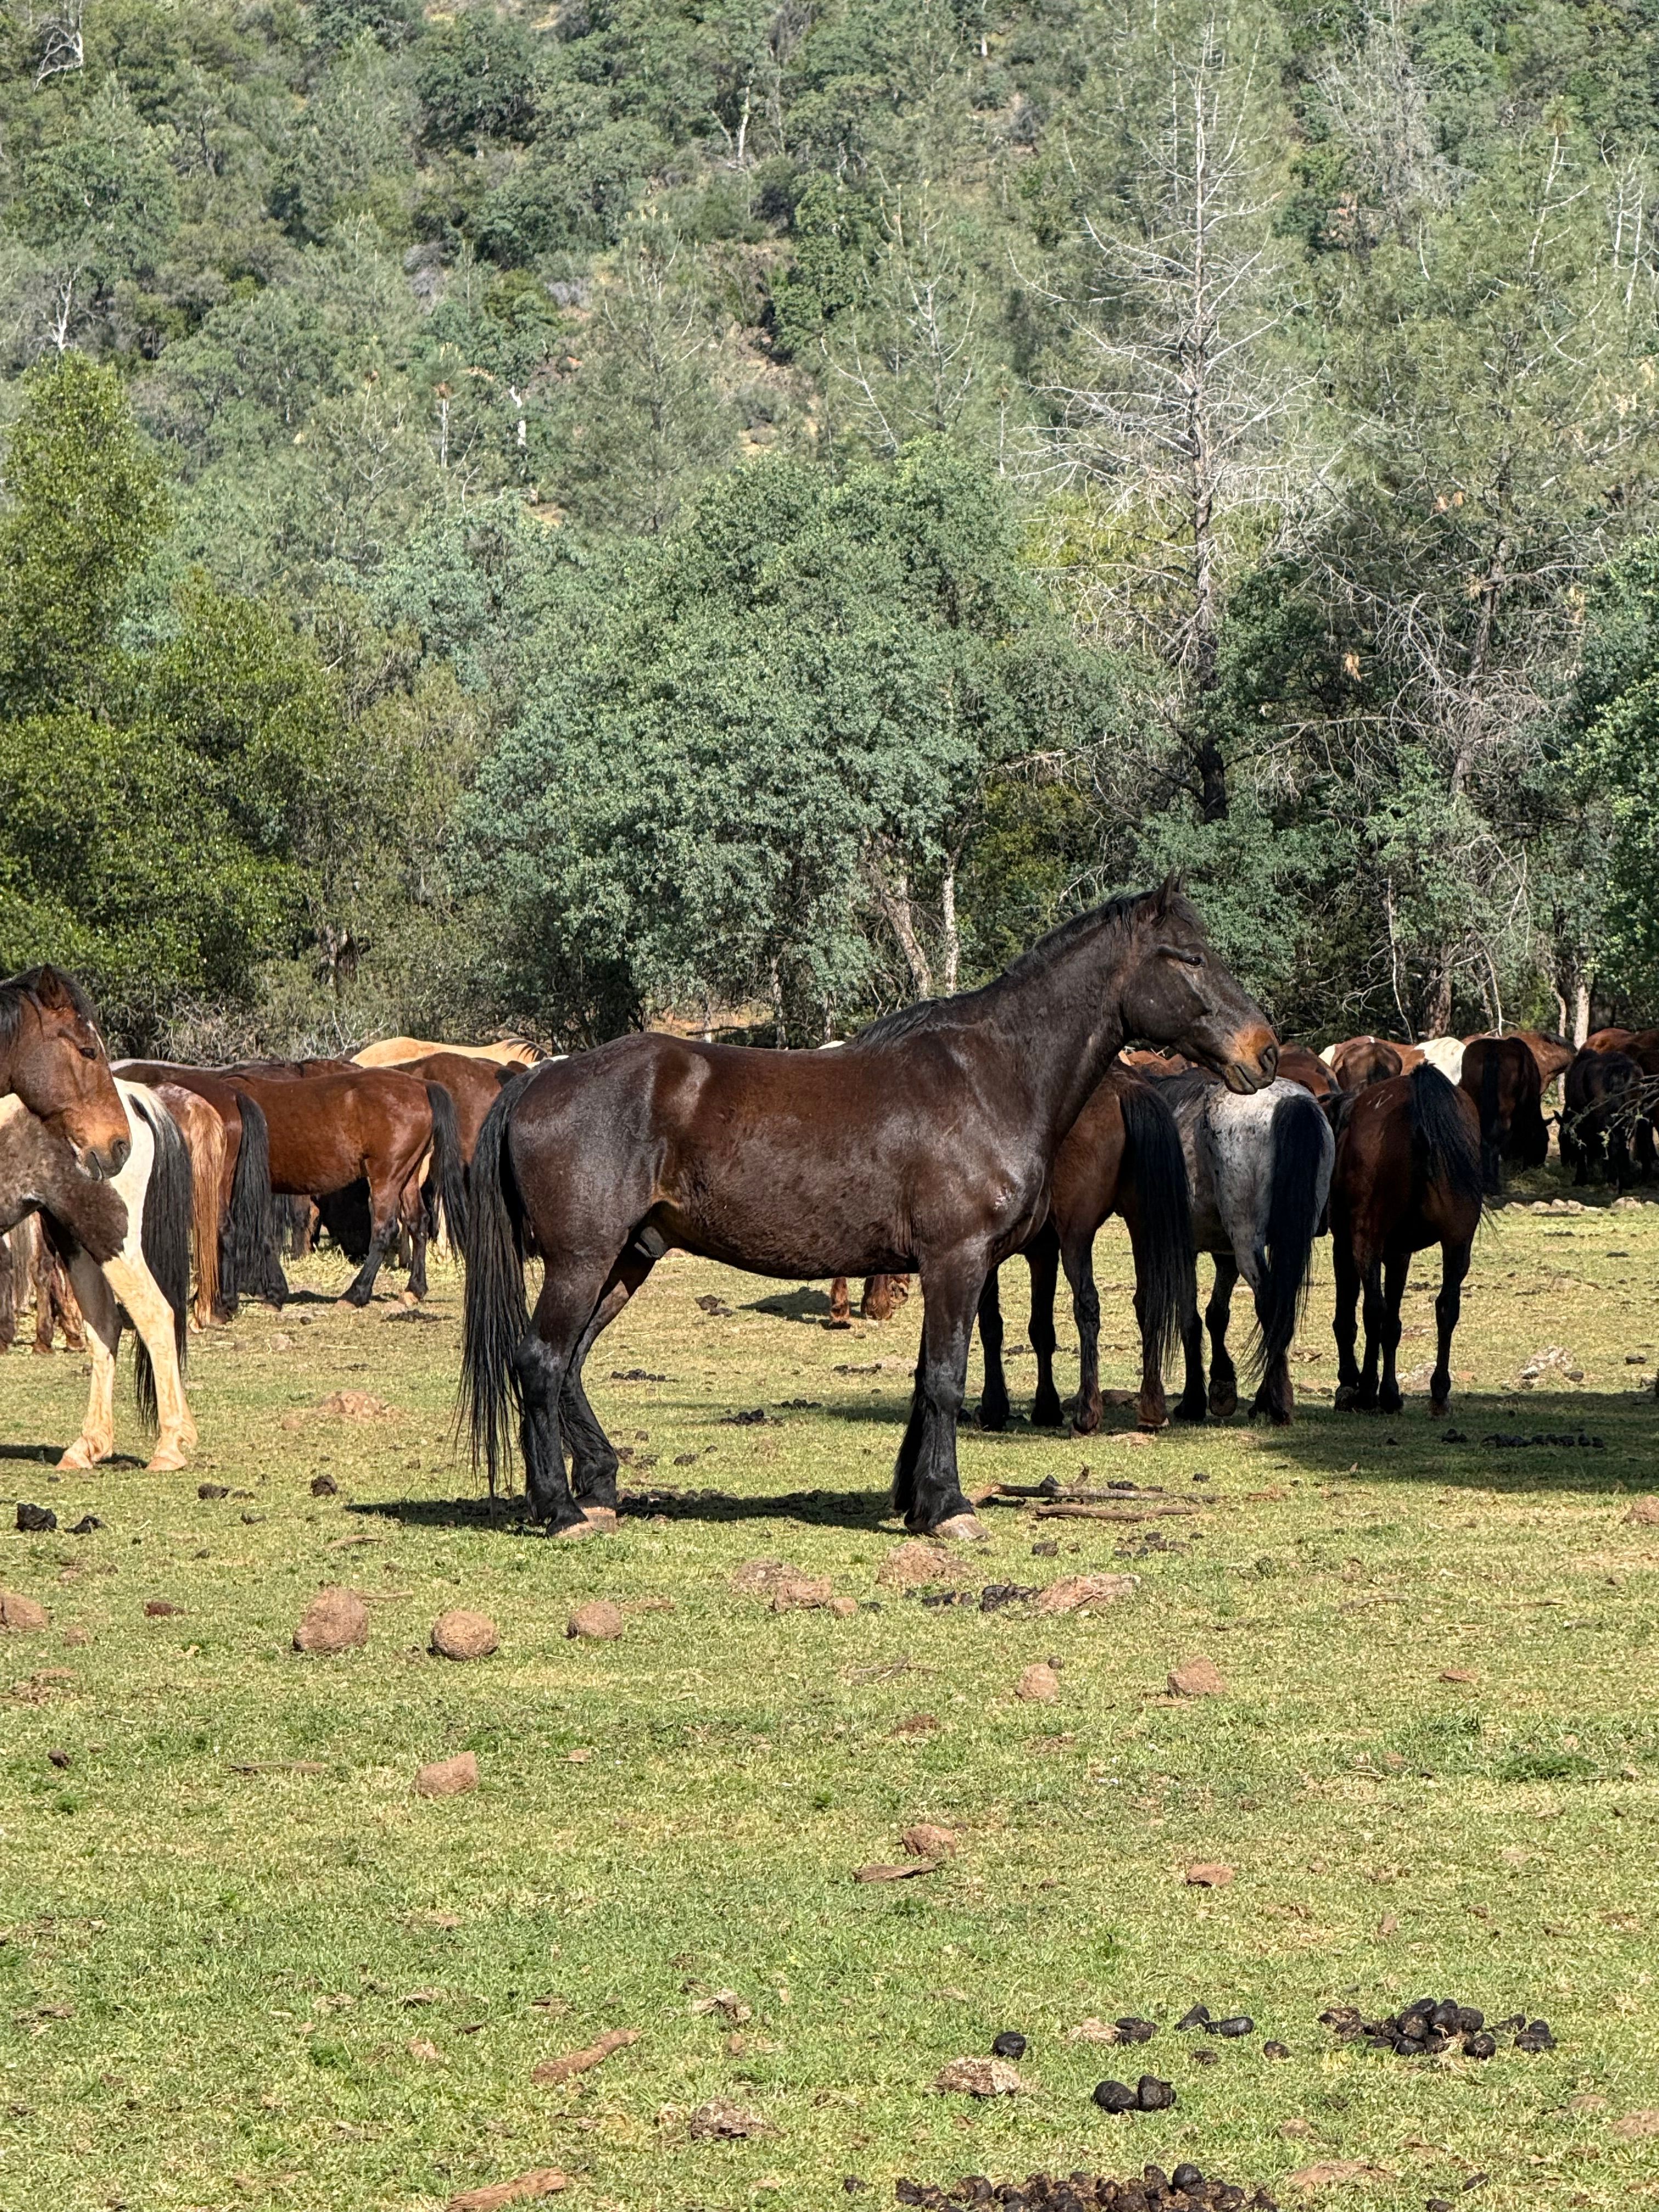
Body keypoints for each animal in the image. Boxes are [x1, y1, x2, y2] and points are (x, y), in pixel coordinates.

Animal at [0, 1082, 195, 1469]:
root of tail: (130, 1094)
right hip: (74, 1239)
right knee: (105, 1325)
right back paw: (89, 1445)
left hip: (107, 1236)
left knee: (154, 1314)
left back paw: (168, 1446)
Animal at [974, 1064, 1195, 1435]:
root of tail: (1125, 1088)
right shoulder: (1043, 1253)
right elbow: (1041, 1328)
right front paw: (1046, 1408)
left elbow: (991, 1324)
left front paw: (994, 1407)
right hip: (1140, 1224)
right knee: (1147, 1301)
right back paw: (1152, 1408)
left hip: (1077, 1236)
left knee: (1088, 1304)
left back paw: (1088, 1412)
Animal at [1150, 1071, 1335, 1425]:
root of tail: (1289, 1102)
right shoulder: (1225, 1255)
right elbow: (1216, 1315)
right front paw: (1222, 1385)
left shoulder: (1186, 1250)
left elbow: (1190, 1320)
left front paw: (1193, 1401)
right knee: (1281, 1311)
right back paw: (1269, 1398)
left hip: (1248, 1242)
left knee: (1270, 1304)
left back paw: (1275, 1404)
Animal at [1327, 1063, 1484, 1416]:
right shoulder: (1400, 1254)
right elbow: (1393, 1325)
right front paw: (1391, 1393)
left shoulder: (1345, 1246)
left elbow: (1350, 1318)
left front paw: (1351, 1384)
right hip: (1457, 1242)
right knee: (1447, 1308)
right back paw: (1439, 1391)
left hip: (1366, 1240)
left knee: (1373, 1309)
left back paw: (1365, 1392)